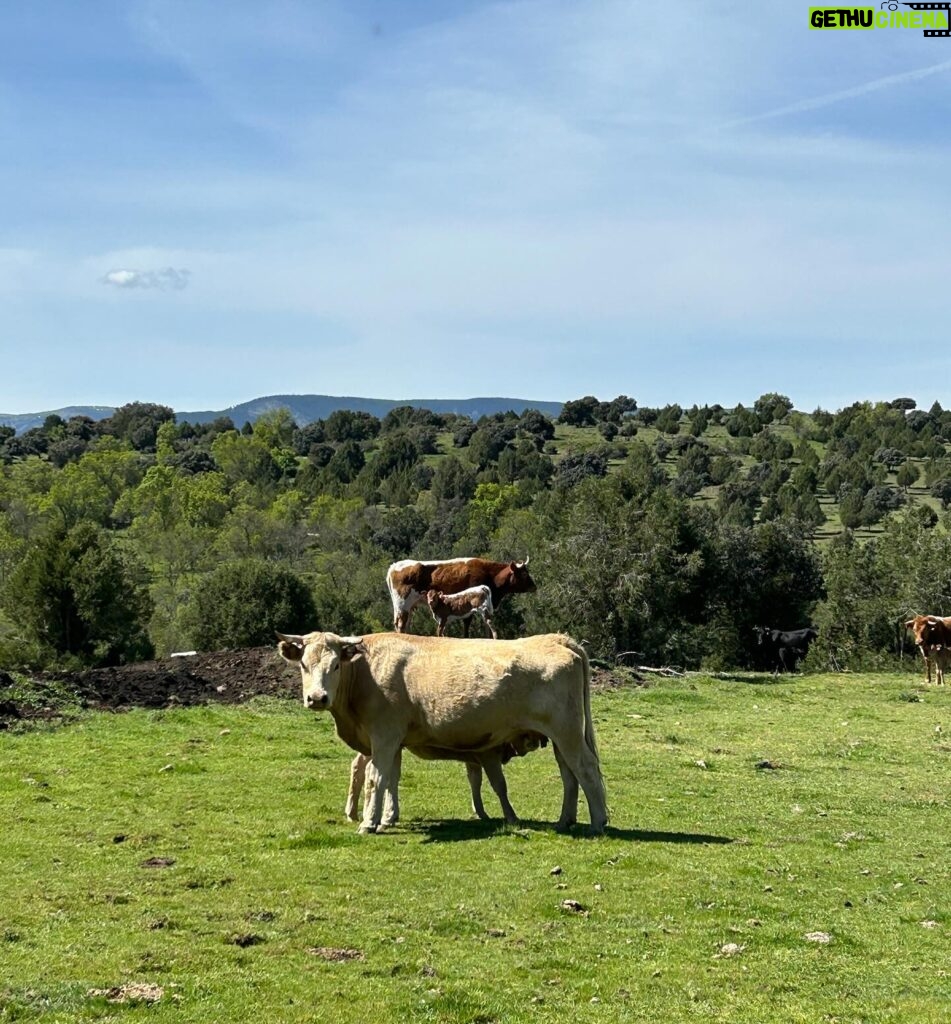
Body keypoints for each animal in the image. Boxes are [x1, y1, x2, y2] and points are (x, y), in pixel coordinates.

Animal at [274, 626, 606, 835]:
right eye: (303, 664)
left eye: (335, 666)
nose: (317, 698)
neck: (365, 672)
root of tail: (556, 639)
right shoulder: (392, 741)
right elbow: (391, 779)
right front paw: (386, 819)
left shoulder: (383, 737)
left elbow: (375, 778)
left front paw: (369, 823)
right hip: (560, 737)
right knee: (569, 774)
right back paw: (565, 821)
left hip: (567, 732)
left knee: (586, 768)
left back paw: (598, 822)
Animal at [384, 557, 532, 634]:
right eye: (524, 574)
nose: (534, 586)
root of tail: (394, 566)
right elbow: (467, 622)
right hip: (402, 606)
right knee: (401, 624)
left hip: (409, 607)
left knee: (405, 625)